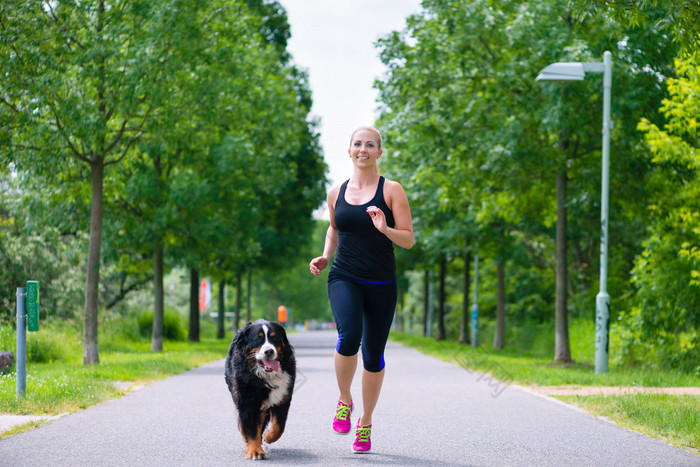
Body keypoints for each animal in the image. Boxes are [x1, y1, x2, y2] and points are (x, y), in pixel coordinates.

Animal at [224, 320, 296, 462]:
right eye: (258, 338)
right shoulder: (248, 402)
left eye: (275, 337)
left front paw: (268, 436)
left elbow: (279, 426)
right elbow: (252, 429)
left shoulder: (283, 399)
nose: (269, 351)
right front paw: (255, 451)